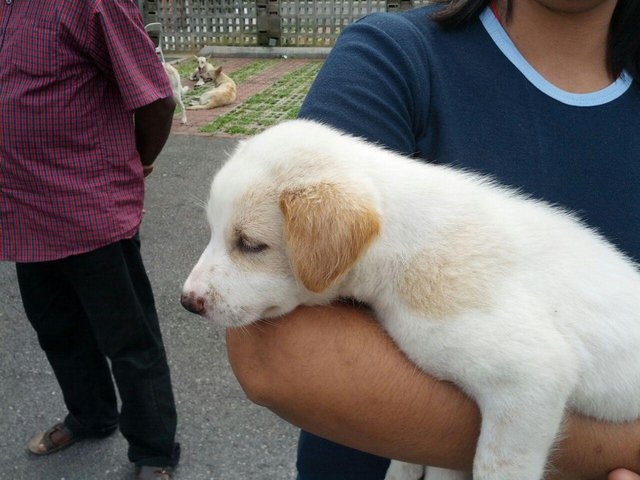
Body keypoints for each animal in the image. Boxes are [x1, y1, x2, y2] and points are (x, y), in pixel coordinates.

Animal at [180, 119, 640, 480]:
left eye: (250, 244)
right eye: (213, 231)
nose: (187, 301)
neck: (404, 244)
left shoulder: (531, 379)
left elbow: (494, 466)